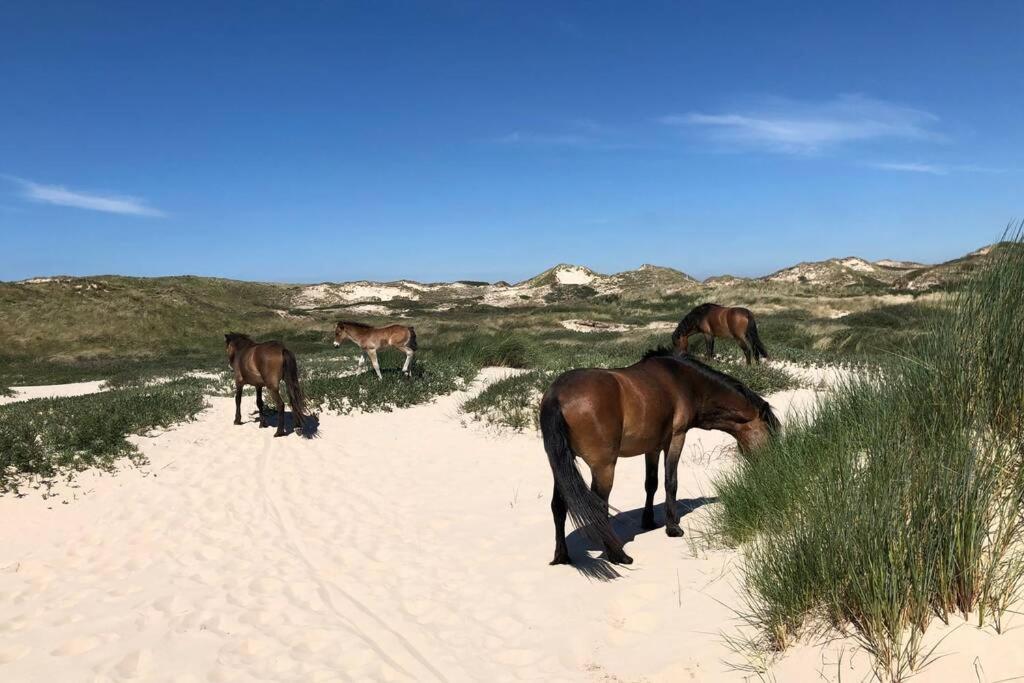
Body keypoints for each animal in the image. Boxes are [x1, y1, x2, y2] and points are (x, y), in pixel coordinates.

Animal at [544, 348, 774, 565]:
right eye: (769, 430)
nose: (769, 464)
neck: (684, 381)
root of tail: (556, 395)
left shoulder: (652, 448)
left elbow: (651, 483)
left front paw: (649, 521)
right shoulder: (676, 438)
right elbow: (670, 481)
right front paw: (673, 527)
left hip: (561, 467)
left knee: (558, 506)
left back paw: (562, 556)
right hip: (603, 468)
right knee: (599, 507)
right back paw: (618, 555)